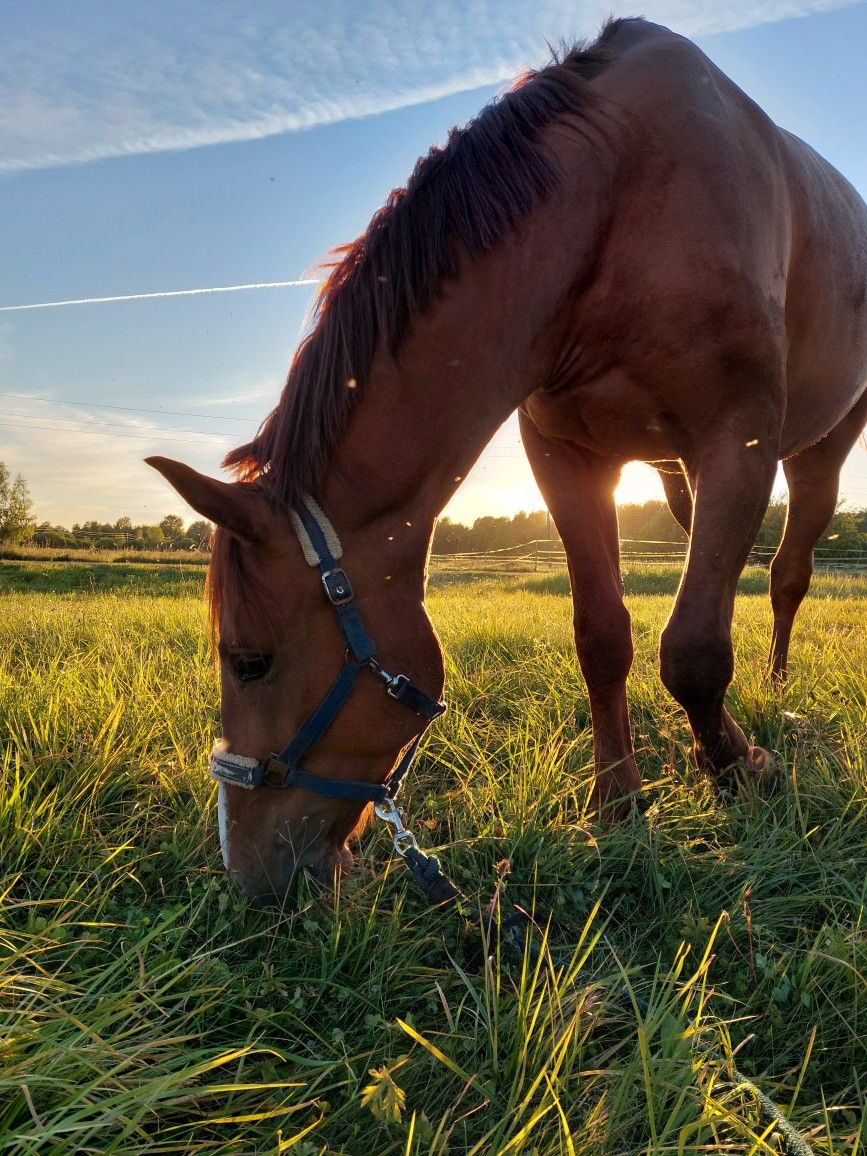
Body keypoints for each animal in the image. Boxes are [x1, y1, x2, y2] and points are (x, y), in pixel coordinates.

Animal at [148, 17, 867, 900]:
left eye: (249, 661)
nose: (249, 872)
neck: (622, 202)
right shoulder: (565, 454)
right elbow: (603, 636)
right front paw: (617, 801)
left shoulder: (739, 437)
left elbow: (694, 652)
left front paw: (739, 766)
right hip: (678, 475)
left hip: (817, 450)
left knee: (786, 574)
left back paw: (772, 690)